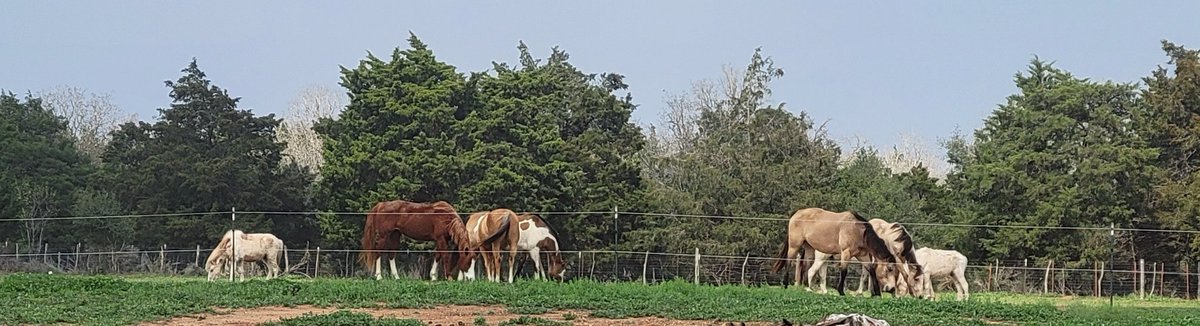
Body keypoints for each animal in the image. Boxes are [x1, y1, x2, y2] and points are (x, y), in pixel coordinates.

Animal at [768, 207, 902, 297]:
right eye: (890, 269)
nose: (891, 289)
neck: (858, 230)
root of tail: (796, 214)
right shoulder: (846, 253)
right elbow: (844, 271)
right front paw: (841, 291)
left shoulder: (862, 256)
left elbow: (871, 270)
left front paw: (877, 293)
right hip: (795, 245)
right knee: (788, 262)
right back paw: (785, 284)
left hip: (809, 248)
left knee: (807, 267)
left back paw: (807, 288)